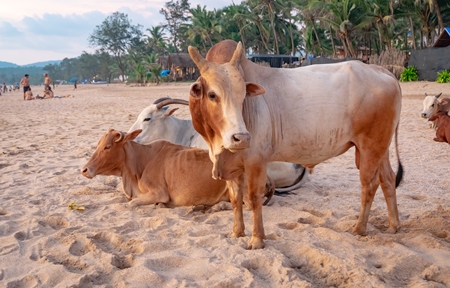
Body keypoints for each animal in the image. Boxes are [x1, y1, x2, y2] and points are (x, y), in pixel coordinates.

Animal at [186, 39, 404, 249]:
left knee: (369, 184)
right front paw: (237, 233)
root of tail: (382, 71)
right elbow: (235, 198)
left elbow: (254, 198)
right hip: (380, 148)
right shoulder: (231, 165)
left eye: (243, 96)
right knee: (387, 179)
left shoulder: (256, 160)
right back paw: (393, 226)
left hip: (370, 147)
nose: (242, 137)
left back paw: (359, 228)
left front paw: (257, 239)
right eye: (212, 95)